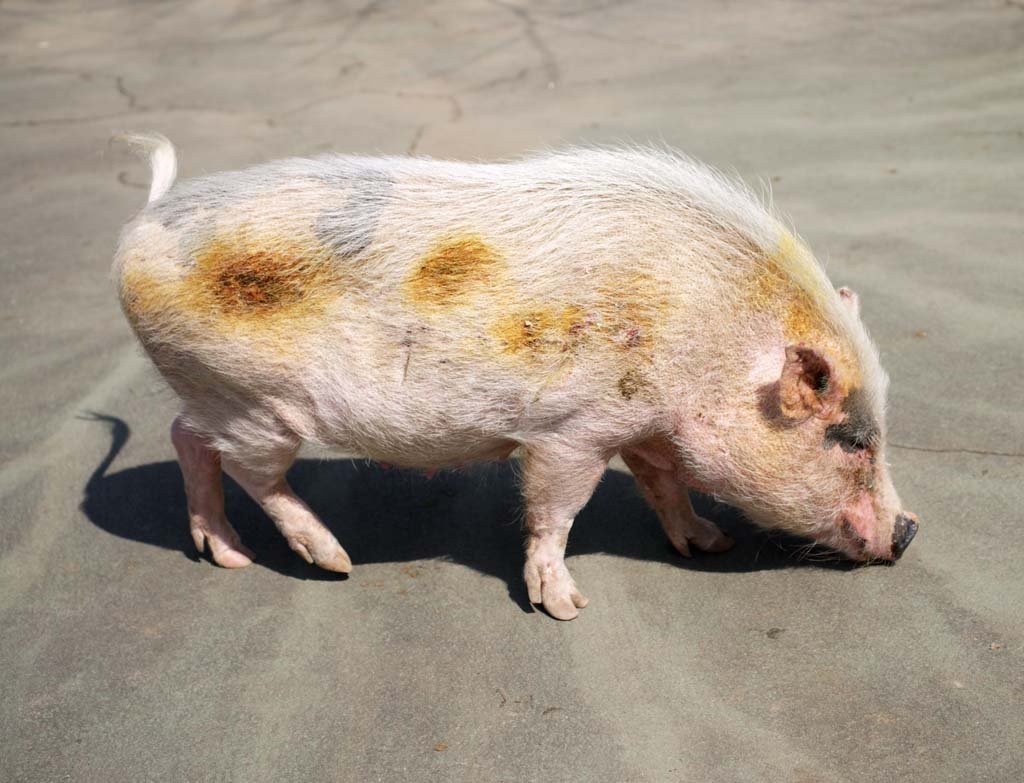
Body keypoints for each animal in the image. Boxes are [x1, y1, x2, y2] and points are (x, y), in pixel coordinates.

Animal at [113, 133, 918, 620]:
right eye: (852, 440)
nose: (911, 532)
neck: (714, 344)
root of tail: (144, 222)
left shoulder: (642, 423)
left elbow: (664, 485)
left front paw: (710, 542)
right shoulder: (571, 430)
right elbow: (557, 510)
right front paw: (565, 607)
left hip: (217, 396)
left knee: (186, 437)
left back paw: (230, 557)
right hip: (256, 403)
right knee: (252, 471)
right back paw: (333, 561)